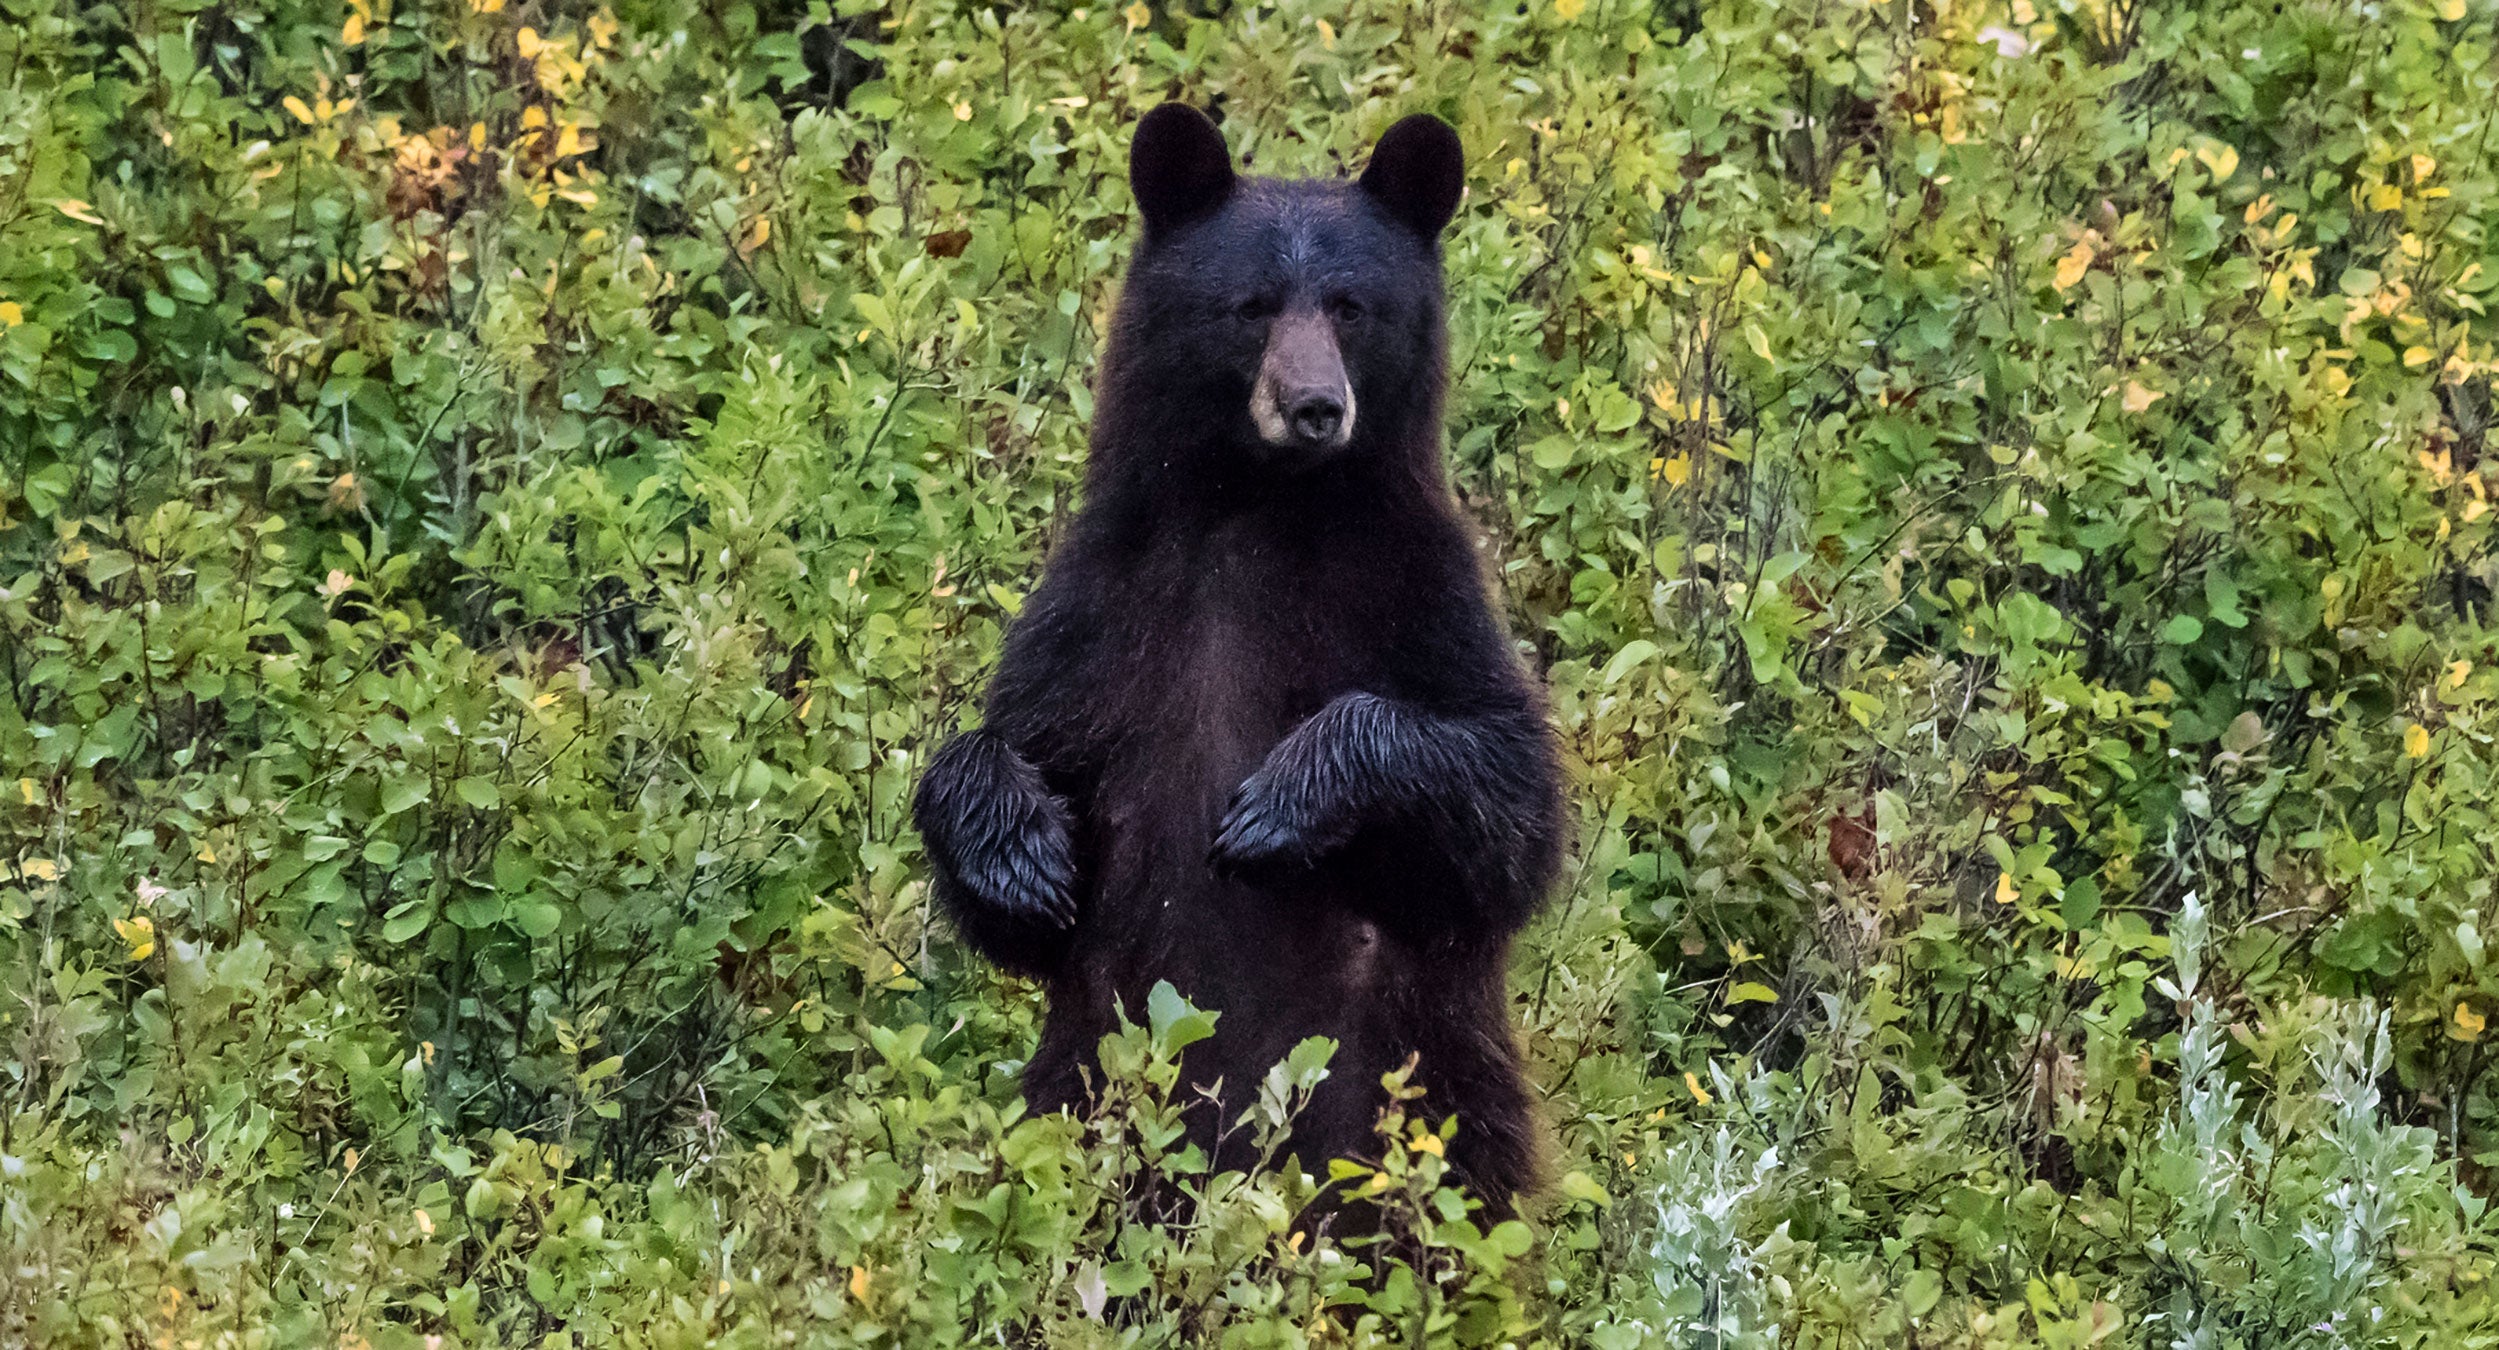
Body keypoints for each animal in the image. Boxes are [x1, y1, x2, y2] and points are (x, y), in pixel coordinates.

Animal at [912, 104, 1565, 1220]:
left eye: (1350, 306)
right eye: (1251, 305)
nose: (1315, 406)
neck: (1263, 509)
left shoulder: (1418, 596)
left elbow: (1506, 810)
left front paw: (1277, 804)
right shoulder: (1106, 610)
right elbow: (1020, 771)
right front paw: (1022, 853)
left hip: (1417, 1111)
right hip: (1080, 1091)